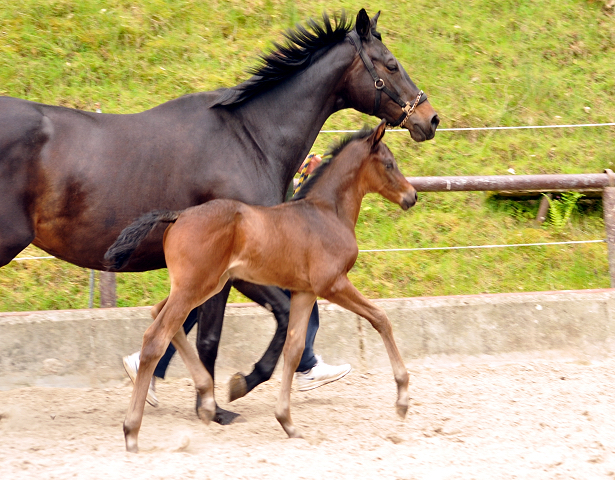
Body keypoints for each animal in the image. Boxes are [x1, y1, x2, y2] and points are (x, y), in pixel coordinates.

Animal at [107, 121, 418, 454]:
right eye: (389, 164)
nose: (411, 196)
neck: (327, 212)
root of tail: (178, 215)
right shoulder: (332, 284)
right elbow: (381, 318)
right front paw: (402, 400)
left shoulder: (305, 292)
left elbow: (294, 348)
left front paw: (287, 422)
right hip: (195, 287)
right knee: (155, 338)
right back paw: (132, 431)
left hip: (204, 286)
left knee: (159, 315)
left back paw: (207, 397)